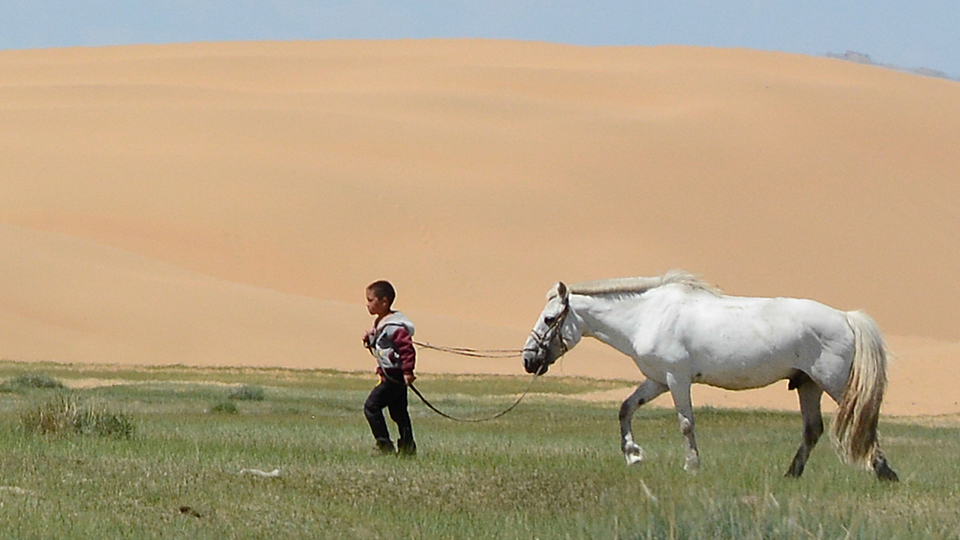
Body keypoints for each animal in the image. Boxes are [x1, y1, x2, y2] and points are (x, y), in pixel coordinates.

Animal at [520, 270, 896, 480]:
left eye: (550, 319)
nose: (528, 359)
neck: (647, 315)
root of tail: (847, 317)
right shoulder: (657, 380)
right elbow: (625, 409)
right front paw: (633, 455)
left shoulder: (676, 379)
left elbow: (686, 424)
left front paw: (692, 467)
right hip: (808, 385)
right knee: (812, 430)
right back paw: (791, 475)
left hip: (834, 383)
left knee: (864, 424)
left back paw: (884, 472)